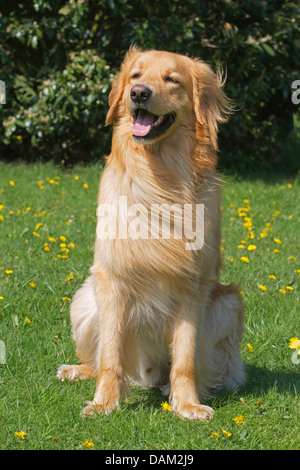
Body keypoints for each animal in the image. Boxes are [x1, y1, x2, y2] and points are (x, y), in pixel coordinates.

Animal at [56, 47, 246, 420]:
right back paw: (76, 370)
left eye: (172, 79)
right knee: (98, 360)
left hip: (228, 303)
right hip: (84, 300)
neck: (159, 177)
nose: (139, 93)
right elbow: (110, 356)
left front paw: (187, 404)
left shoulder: (194, 285)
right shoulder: (112, 279)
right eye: (136, 76)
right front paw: (104, 403)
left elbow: (185, 356)